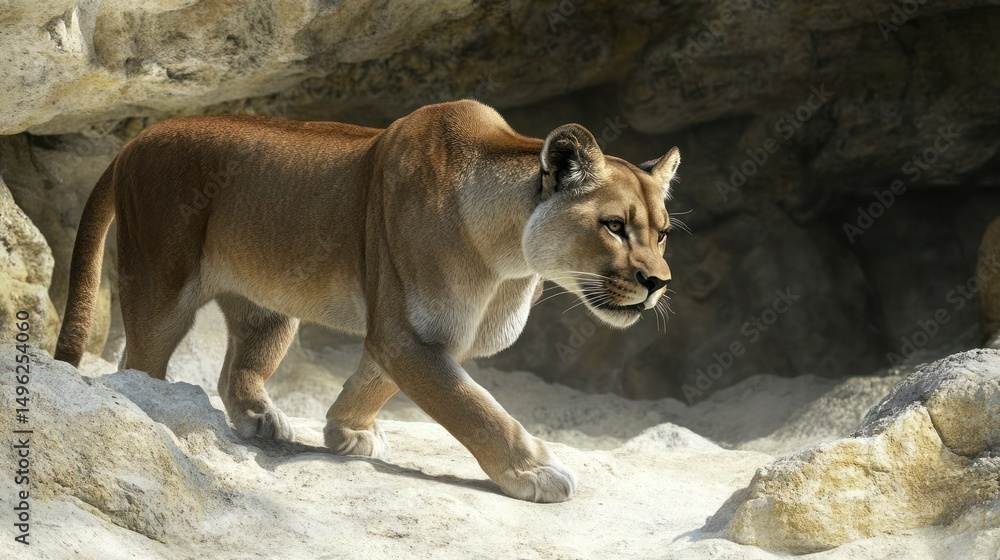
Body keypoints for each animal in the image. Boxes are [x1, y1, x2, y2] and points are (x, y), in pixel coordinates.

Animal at [54, 100, 680, 503]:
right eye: (614, 225)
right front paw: (537, 471)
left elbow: (376, 380)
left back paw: (261, 419)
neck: (509, 261)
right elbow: (472, 406)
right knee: (137, 364)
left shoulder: (410, 334)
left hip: (269, 307)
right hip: (160, 286)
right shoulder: (406, 332)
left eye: (662, 233)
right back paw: (157, 407)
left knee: (239, 367)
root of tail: (134, 140)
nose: (658, 283)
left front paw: (345, 431)